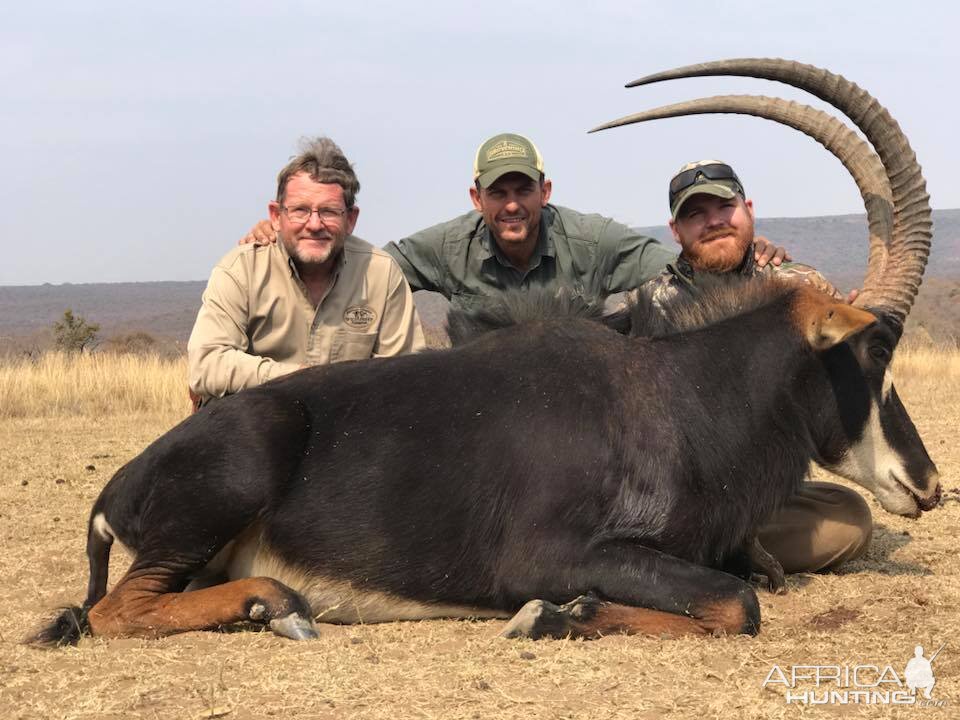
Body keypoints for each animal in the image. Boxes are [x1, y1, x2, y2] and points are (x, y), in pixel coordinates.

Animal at [31, 60, 936, 648]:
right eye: (870, 349)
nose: (927, 484)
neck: (680, 398)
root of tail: (117, 487)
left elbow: (746, 585)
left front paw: (572, 615)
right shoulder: (552, 553)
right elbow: (737, 602)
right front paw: (555, 614)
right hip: (232, 481)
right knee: (113, 613)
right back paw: (275, 602)